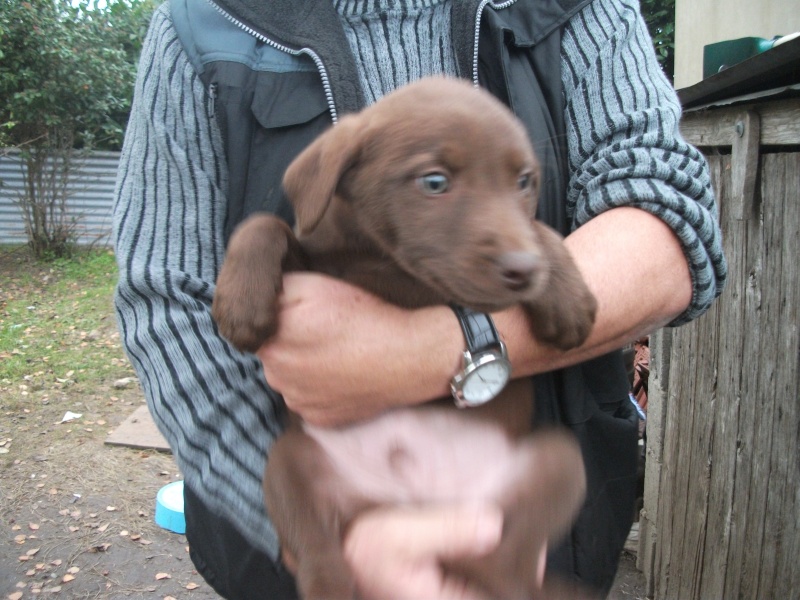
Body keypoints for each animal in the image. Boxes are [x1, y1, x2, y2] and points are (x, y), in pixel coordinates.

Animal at [212, 77, 600, 596]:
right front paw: (241, 302)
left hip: (557, 461)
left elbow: (538, 229)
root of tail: (416, 506)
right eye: (434, 182)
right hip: (290, 463)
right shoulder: (319, 262)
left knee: (504, 563)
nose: (522, 270)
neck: (383, 261)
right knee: (319, 551)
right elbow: (263, 223)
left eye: (524, 181)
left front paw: (567, 297)